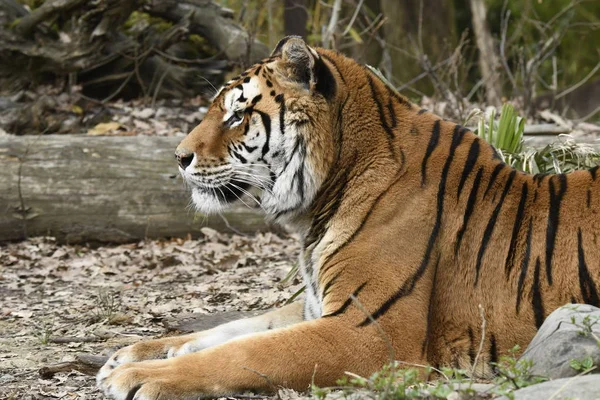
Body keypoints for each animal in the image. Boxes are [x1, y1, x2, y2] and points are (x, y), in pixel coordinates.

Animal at [96, 36, 596, 398]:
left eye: (238, 115)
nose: (178, 157)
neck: (320, 202)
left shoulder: (370, 330)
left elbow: (243, 351)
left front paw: (139, 376)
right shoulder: (314, 304)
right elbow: (229, 329)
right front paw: (131, 354)